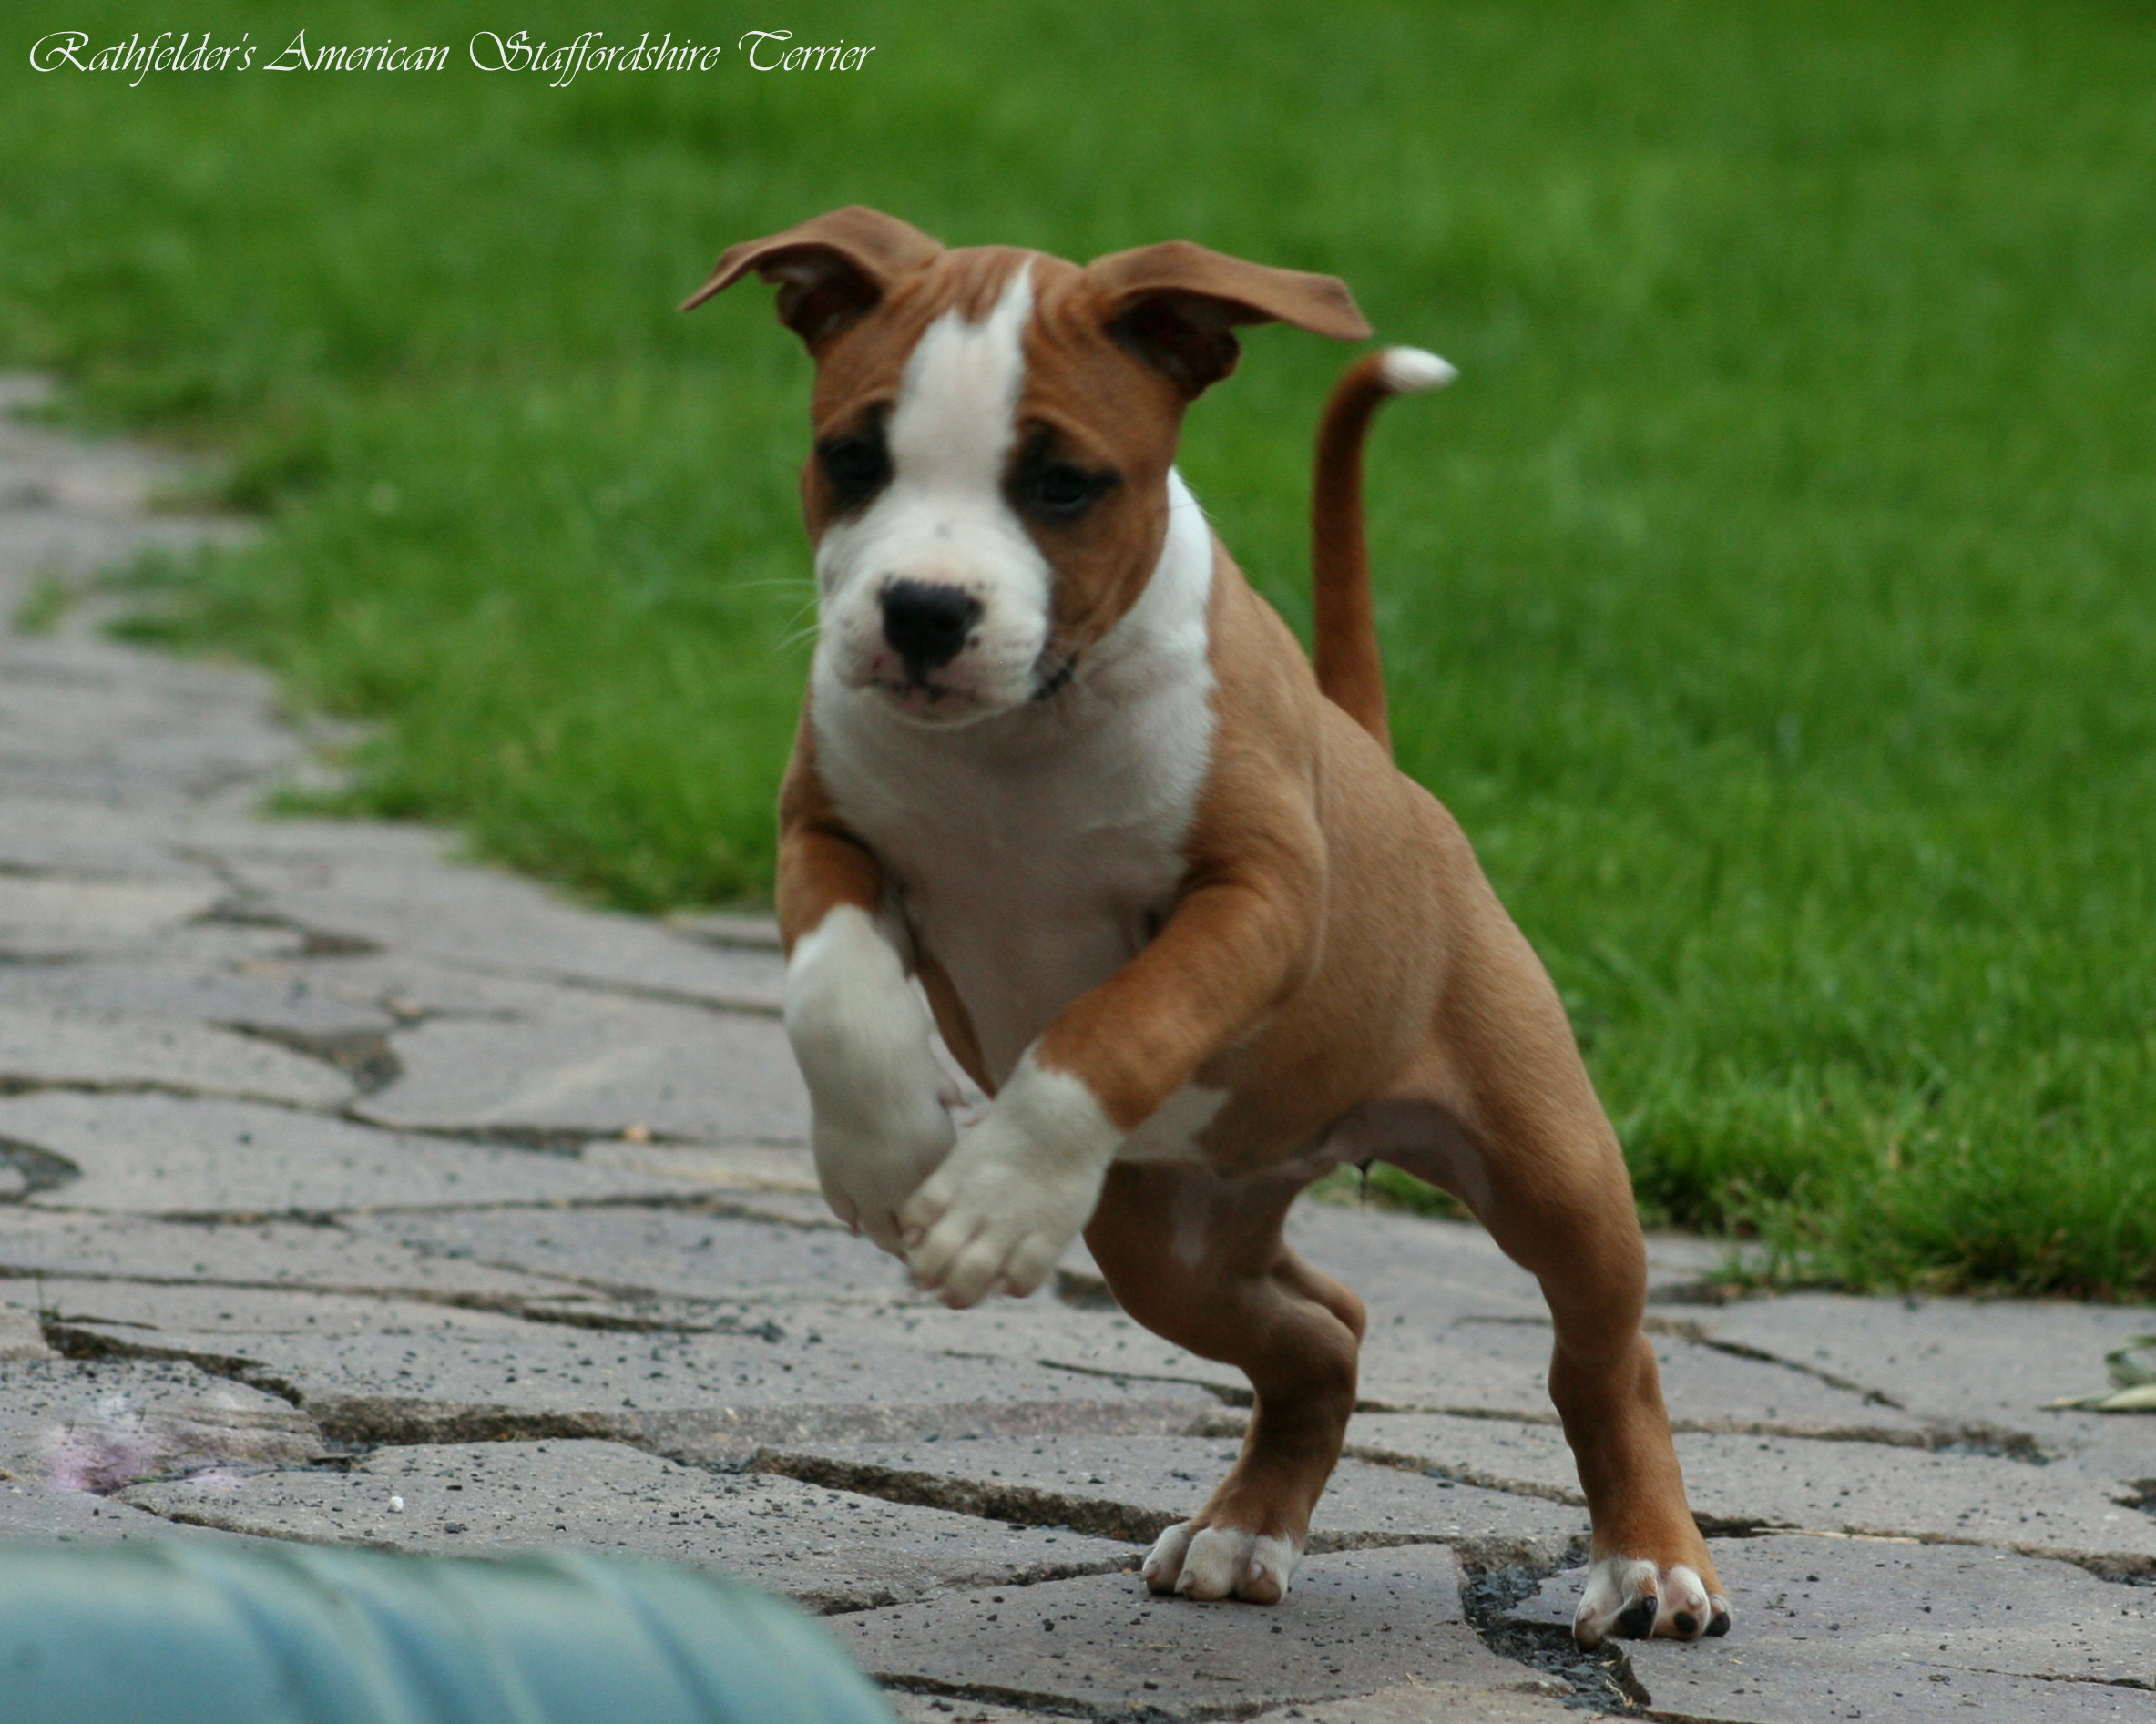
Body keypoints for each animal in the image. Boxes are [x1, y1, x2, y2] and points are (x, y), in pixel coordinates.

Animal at [684, 206, 1729, 1646]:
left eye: (1064, 485)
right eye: (852, 456)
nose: (923, 611)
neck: (1020, 737)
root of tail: (1378, 754)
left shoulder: (1258, 900)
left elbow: (1115, 1022)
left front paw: (992, 1198)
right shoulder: (825, 837)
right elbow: (831, 995)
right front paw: (885, 1157)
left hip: (1553, 1168)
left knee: (1603, 1357)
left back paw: (1648, 1566)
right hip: (1165, 1236)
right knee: (1323, 1330)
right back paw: (1242, 1530)